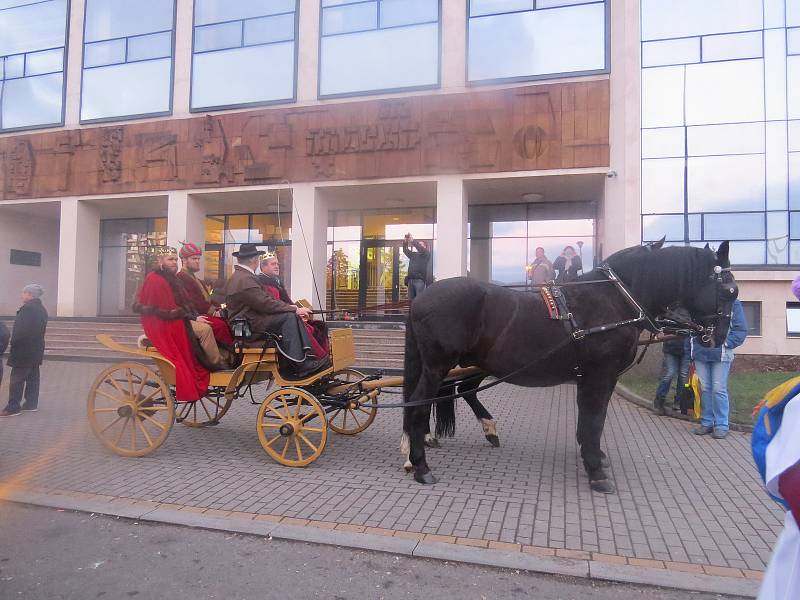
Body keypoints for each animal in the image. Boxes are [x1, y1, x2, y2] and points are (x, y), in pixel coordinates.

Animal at [400, 241, 736, 494]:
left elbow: (591, 419)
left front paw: (594, 456)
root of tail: (422, 298)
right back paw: (421, 465)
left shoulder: (597, 378)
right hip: (439, 366)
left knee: (457, 392)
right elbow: (594, 419)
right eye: (728, 291)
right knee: (419, 403)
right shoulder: (599, 375)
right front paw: (596, 471)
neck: (614, 299)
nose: (719, 338)